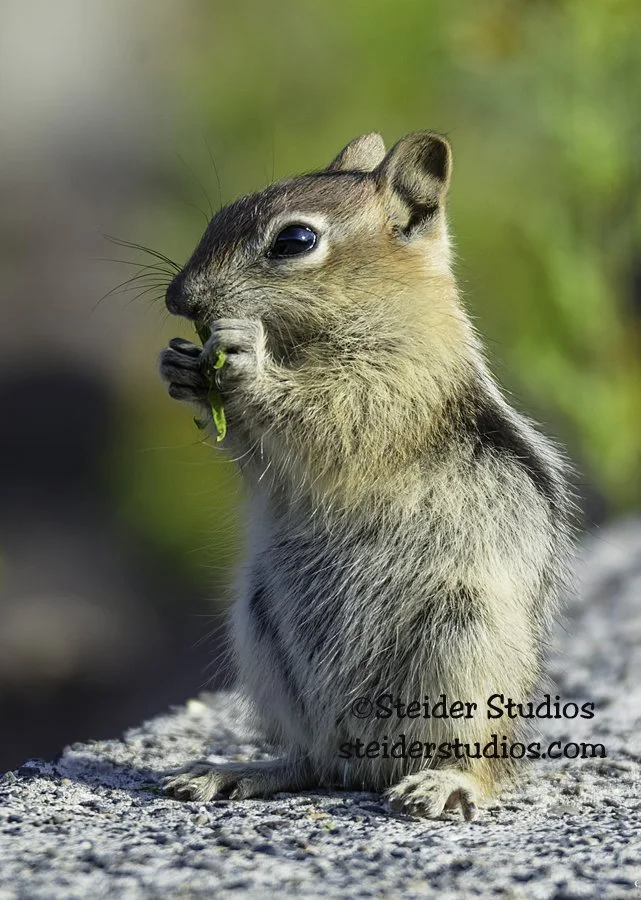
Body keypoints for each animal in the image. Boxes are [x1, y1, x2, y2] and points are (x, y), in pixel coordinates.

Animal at [158, 131, 573, 820]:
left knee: (478, 764)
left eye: (295, 240)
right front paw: (182, 367)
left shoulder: (397, 387)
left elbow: (335, 417)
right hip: (262, 634)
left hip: (465, 647)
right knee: (312, 761)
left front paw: (245, 358)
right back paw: (238, 770)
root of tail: (367, 764)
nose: (178, 300)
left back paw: (445, 783)